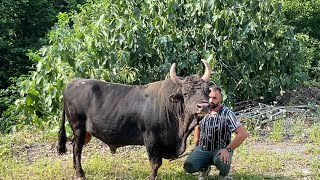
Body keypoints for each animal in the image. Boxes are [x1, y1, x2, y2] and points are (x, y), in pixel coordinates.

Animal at [57, 59, 212, 179]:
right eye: (185, 93)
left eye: (207, 91)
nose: (204, 107)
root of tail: (74, 82)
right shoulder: (150, 138)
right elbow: (156, 163)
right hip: (78, 127)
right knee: (77, 149)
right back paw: (80, 173)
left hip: (84, 132)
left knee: (75, 146)